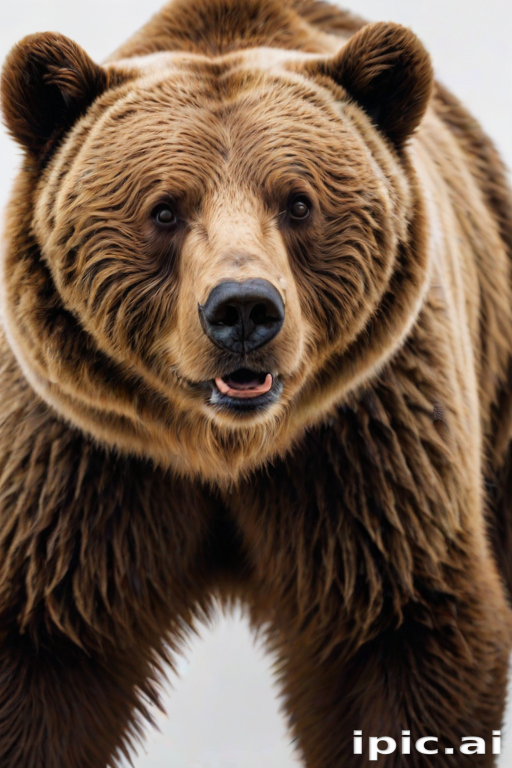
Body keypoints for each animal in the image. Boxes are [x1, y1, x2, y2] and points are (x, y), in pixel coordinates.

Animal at [1, 0, 512, 765]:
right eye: (164, 208)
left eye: (298, 202)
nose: (243, 309)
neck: (224, 449)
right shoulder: (82, 461)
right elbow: (41, 648)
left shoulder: (366, 445)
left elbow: (404, 629)